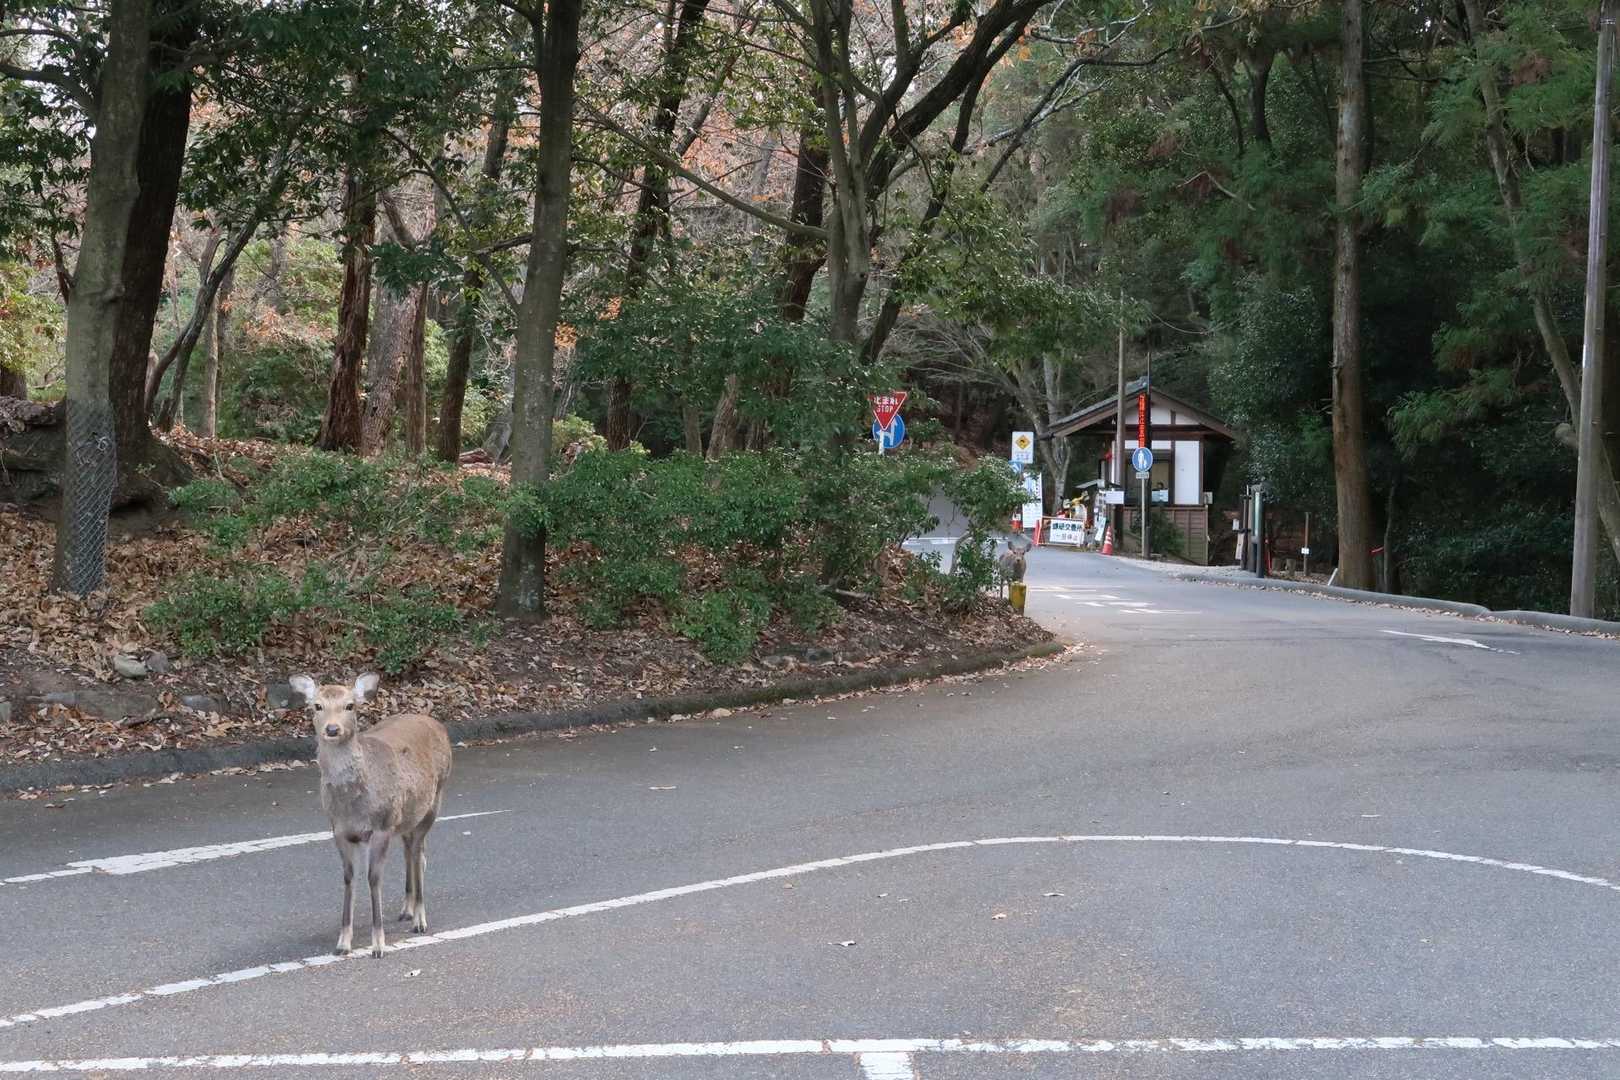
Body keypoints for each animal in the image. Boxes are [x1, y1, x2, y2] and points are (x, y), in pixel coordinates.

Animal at [289, 673, 452, 958]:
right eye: (317, 706)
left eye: (350, 706)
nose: (332, 729)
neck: (353, 806)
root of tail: (437, 724)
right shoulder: (340, 830)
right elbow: (349, 877)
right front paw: (343, 943)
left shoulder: (382, 825)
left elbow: (374, 878)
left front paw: (378, 945)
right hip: (406, 816)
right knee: (411, 850)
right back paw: (407, 908)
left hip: (433, 803)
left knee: (419, 854)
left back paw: (420, 919)